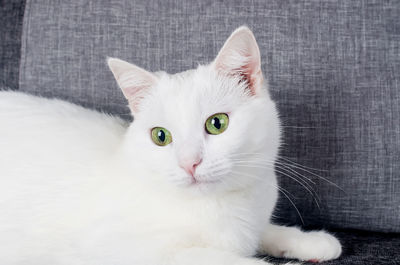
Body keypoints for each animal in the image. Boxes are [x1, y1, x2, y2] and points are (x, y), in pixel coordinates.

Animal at [0, 26, 340, 264]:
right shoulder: (122, 249)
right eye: (160, 136)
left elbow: (263, 231)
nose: (189, 162)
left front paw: (310, 241)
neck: (223, 206)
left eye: (217, 123)